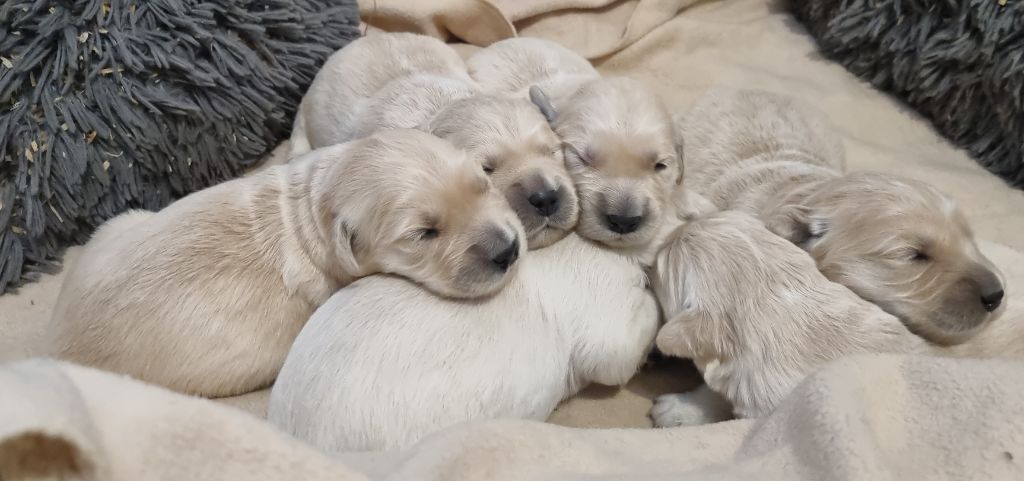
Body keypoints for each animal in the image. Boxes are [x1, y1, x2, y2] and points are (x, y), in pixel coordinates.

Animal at [48, 129, 524, 397]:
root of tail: (55, 347)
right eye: (424, 234)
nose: (508, 250)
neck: (312, 209)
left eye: (482, 184)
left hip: (118, 225)